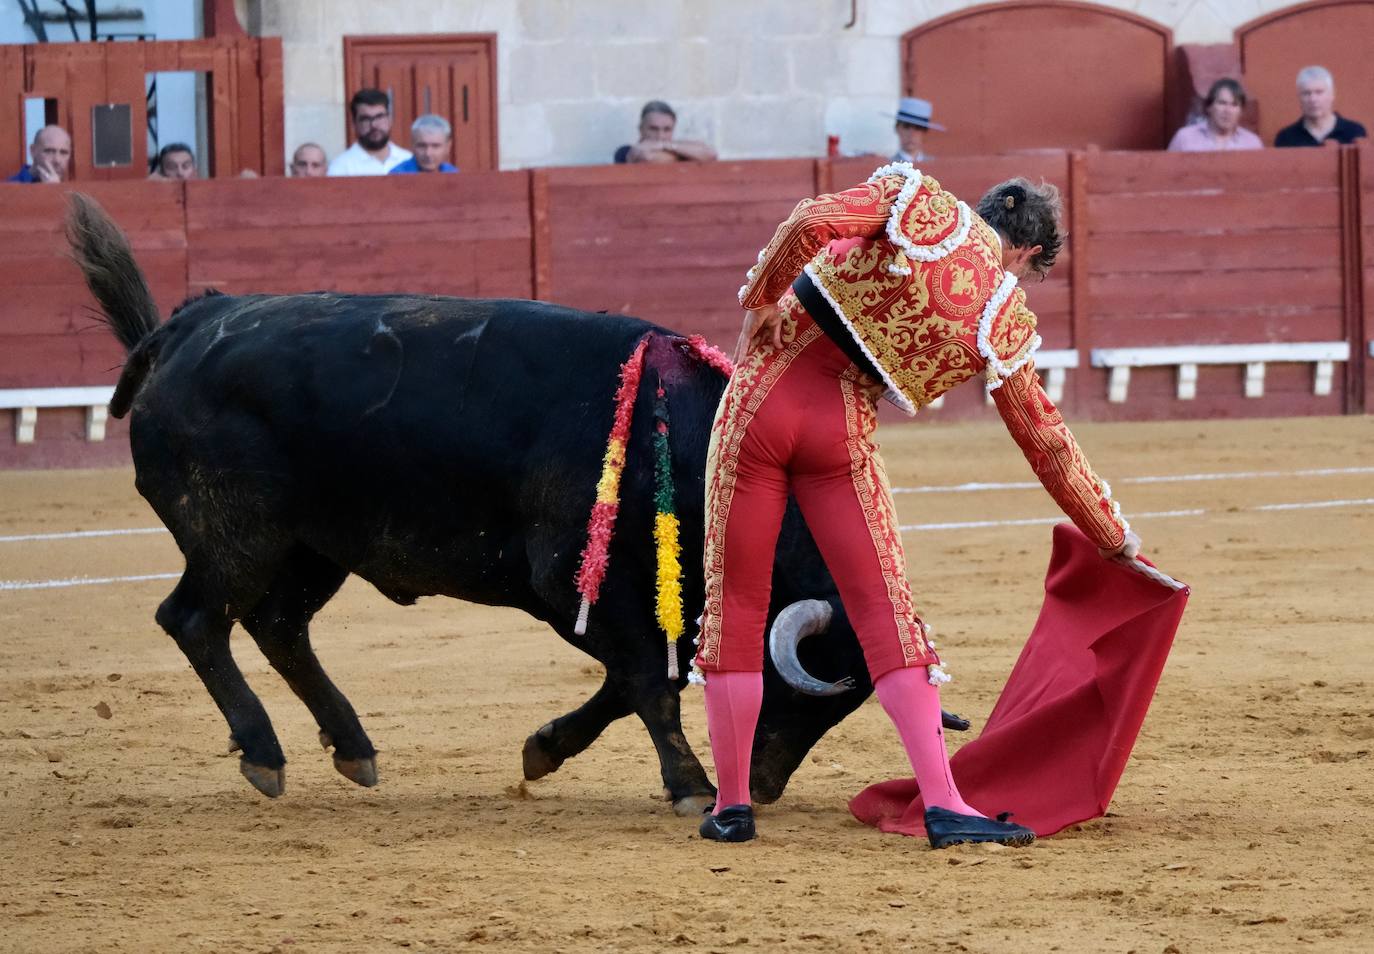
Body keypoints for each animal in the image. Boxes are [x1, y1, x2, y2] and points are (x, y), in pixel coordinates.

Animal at [66, 192, 967, 813]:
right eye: (812, 693)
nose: (769, 786)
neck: (685, 442)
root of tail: (190, 325)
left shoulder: (637, 605)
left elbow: (627, 685)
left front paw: (546, 749)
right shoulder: (572, 582)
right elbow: (646, 683)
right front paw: (689, 783)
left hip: (314, 546)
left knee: (279, 626)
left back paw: (352, 747)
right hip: (236, 535)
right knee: (195, 620)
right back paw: (264, 754)